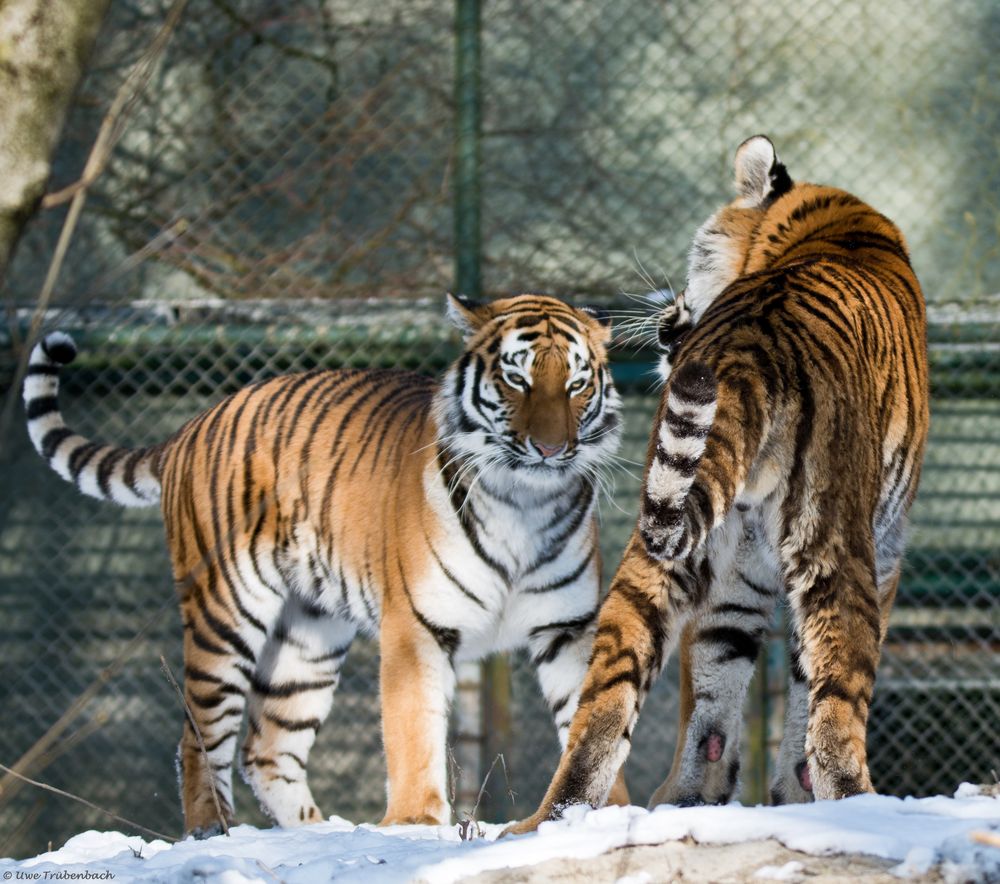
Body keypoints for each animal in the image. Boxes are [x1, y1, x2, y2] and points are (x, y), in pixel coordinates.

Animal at [23, 296, 628, 836]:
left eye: (576, 384)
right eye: (515, 379)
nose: (550, 449)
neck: (524, 504)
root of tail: (192, 426)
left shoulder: (567, 627)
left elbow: (596, 718)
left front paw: (606, 812)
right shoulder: (416, 628)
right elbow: (412, 728)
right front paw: (413, 822)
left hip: (309, 636)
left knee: (267, 746)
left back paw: (317, 835)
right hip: (224, 611)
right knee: (198, 735)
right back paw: (212, 829)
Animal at [508, 133, 928, 836]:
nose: (669, 310)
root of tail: (749, 338)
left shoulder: (738, 573)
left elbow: (717, 684)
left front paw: (709, 796)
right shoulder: (886, 546)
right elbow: (802, 690)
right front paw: (797, 797)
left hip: (657, 548)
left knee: (605, 702)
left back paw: (565, 817)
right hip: (838, 544)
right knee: (838, 701)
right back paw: (860, 808)